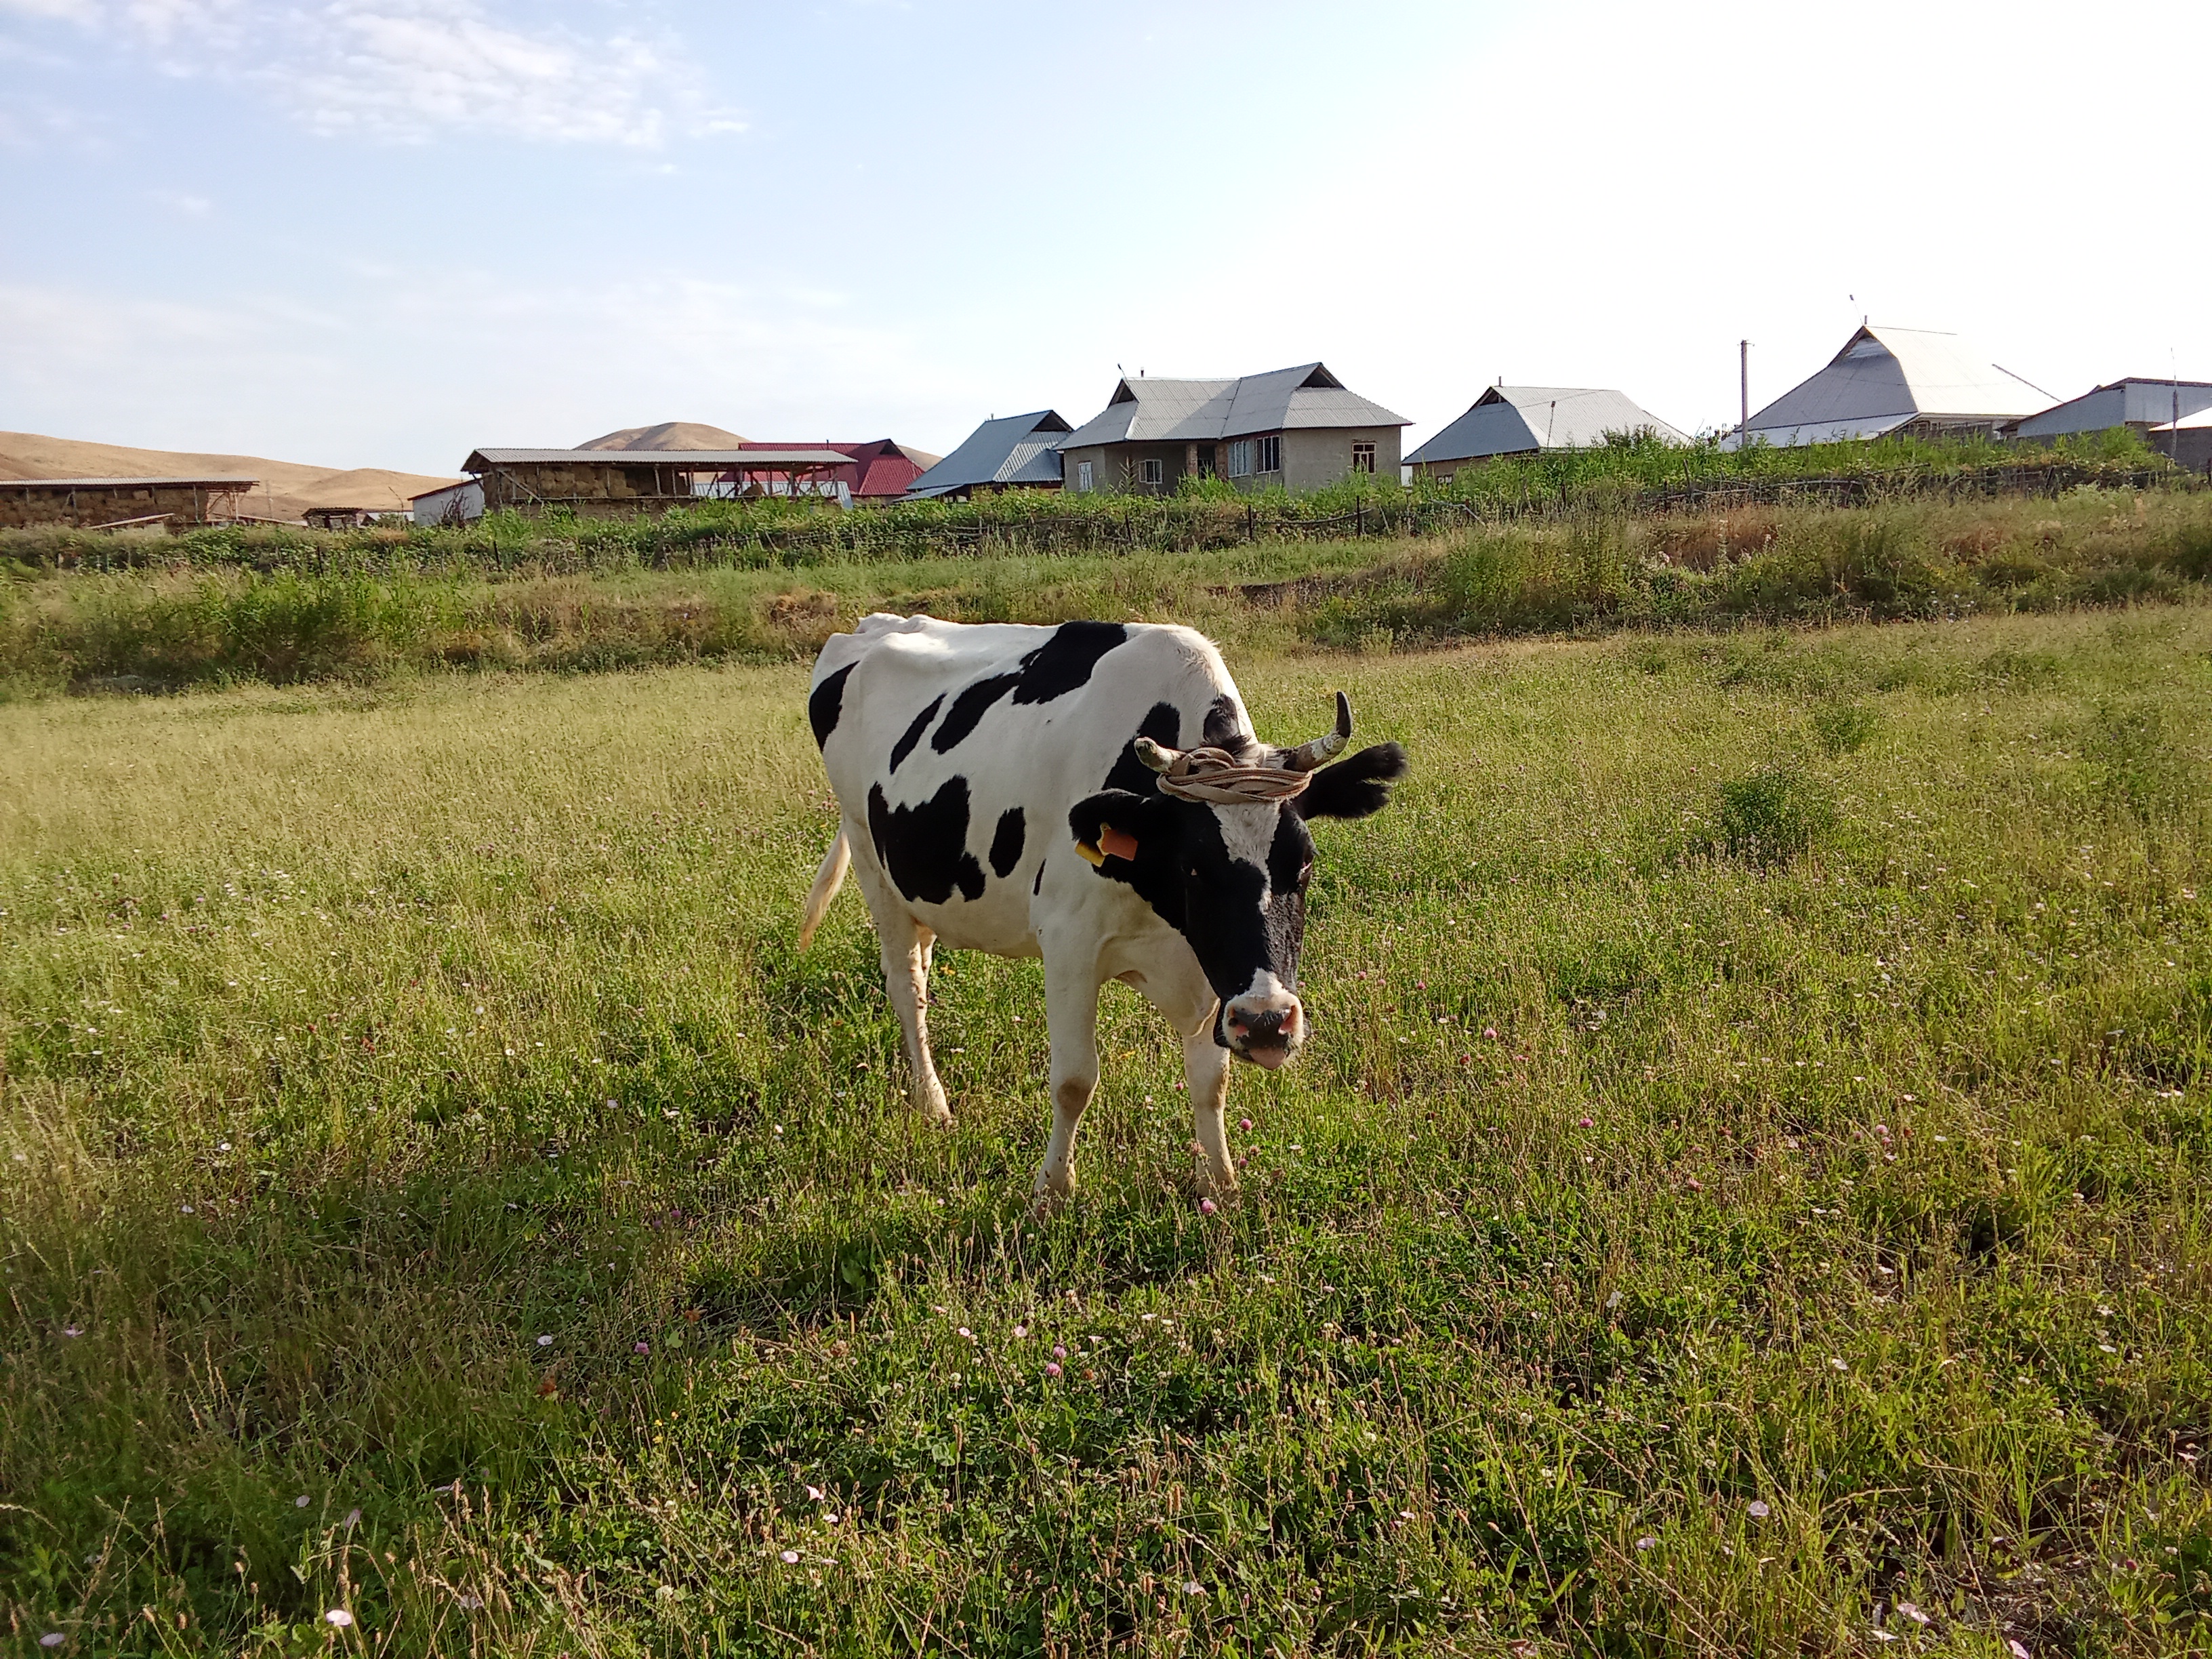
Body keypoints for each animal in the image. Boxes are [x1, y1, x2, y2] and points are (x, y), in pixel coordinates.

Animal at [800, 614, 1407, 1203]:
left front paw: (1220, 1183)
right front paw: (1052, 1191)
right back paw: (933, 1103)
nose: (1265, 1022)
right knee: (906, 987)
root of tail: (872, 626)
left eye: (1304, 862)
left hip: (918, 888)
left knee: (921, 971)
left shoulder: (1210, 968)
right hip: (871, 861)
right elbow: (1074, 1081)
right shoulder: (1069, 944)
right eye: (1193, 867)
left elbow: (1210, 1082)